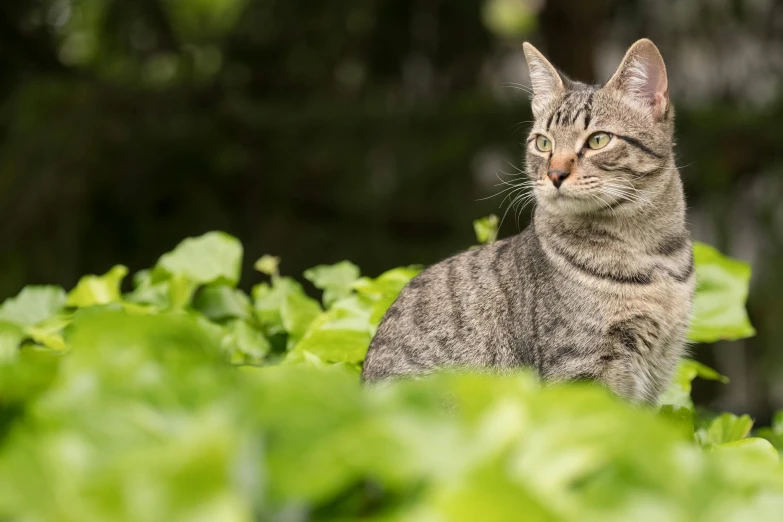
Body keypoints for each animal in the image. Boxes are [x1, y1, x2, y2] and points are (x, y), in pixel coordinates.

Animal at [358, 38, 696, 402]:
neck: (654, 257)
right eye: (543, 143)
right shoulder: (580, 370)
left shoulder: (656, 372)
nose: (555, 173)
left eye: (598, 140)